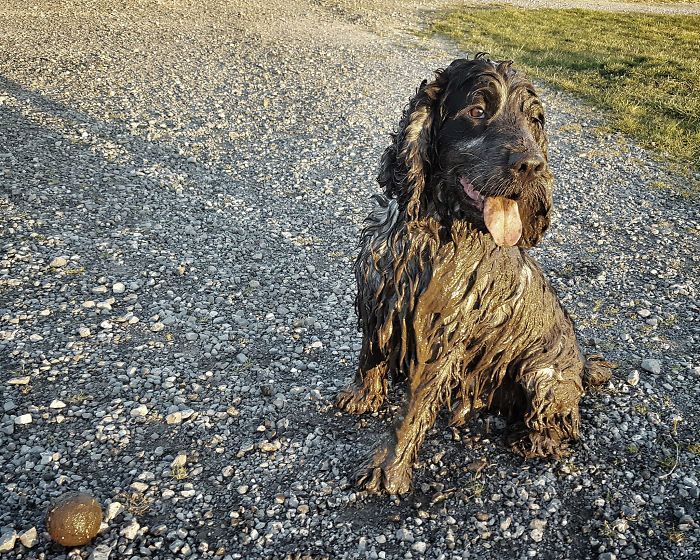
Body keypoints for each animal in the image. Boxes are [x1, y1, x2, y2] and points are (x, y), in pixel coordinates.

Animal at [336, 55, 608, 494]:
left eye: (535, 120)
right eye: (478, 112)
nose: (533, 166)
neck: (431, 231)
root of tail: (582, 366)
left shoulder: (439, 335)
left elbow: (412, 410)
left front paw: (388, 470)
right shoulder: (379, 297)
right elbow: (369, 355)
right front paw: (362, 396)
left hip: (542, 374)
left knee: (565, 424)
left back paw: (534, 440)